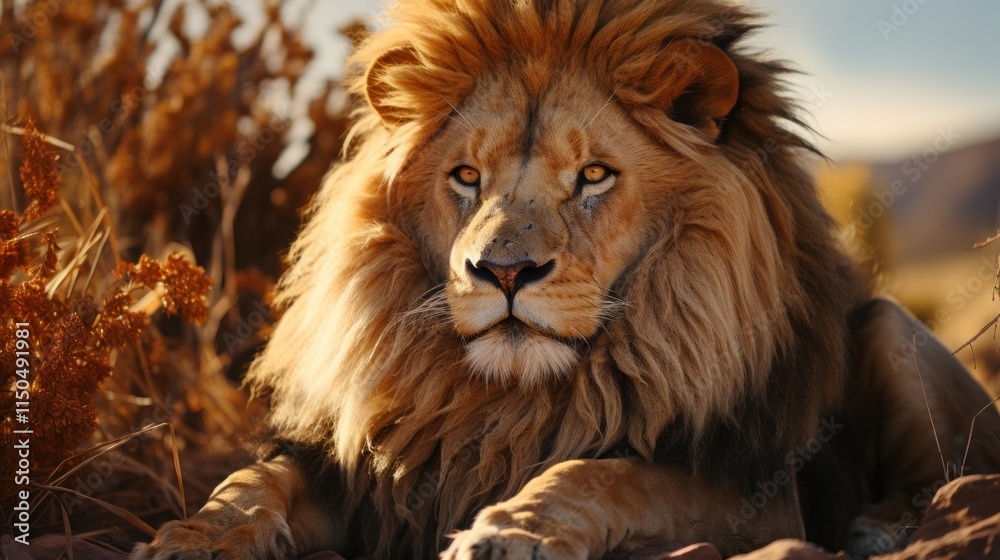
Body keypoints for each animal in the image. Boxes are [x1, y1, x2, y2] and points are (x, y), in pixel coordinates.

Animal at [132, 0, 1000, 559]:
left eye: (593, 175)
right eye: (467, 177)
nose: (503, 270)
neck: (511, 403)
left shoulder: (751, 488)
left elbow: (605, 473)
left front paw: (510, 531)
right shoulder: (364, 467)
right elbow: (250, 482)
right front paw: (192, 537)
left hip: (889, 326)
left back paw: (882, 526)